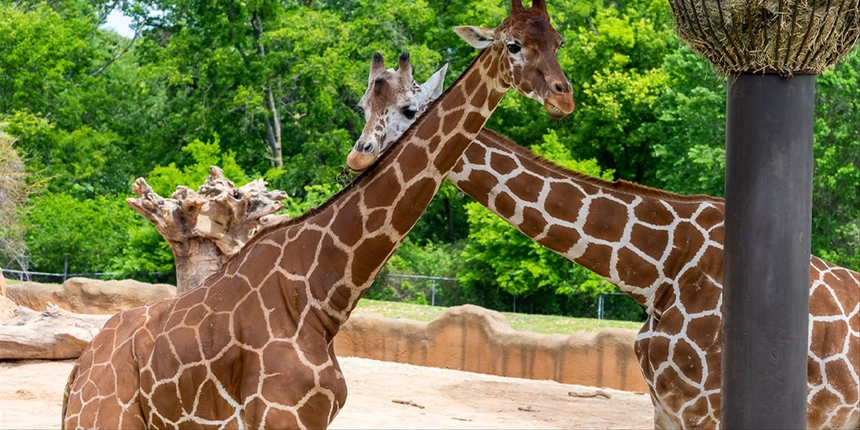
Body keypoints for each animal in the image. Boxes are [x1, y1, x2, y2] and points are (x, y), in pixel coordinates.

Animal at [58, 1, 572, 428]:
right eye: (512, 44)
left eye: (558, 41)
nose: (562, 97)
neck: (322, 300)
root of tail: (76, 374)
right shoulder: (281, 416)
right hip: (103, 419)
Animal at [344, 58, 860, 428]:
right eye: (363, 108)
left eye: (410, 110)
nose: (357, 157)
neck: (659, 271)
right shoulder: (665, 410)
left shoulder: (704, 410)